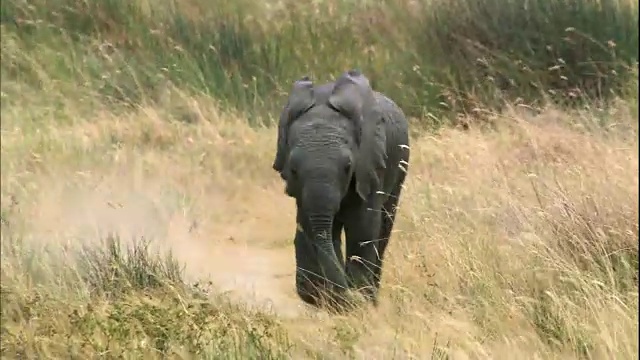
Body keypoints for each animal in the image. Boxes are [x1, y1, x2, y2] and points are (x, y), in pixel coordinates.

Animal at [270, 69, 410, 310]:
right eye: (293, 170)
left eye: (348, 167)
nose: (350, 296)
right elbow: (313, 227)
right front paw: (321, 296)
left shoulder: (370, 166)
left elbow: (362, 228)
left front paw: (357, 298)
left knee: (384, 226)